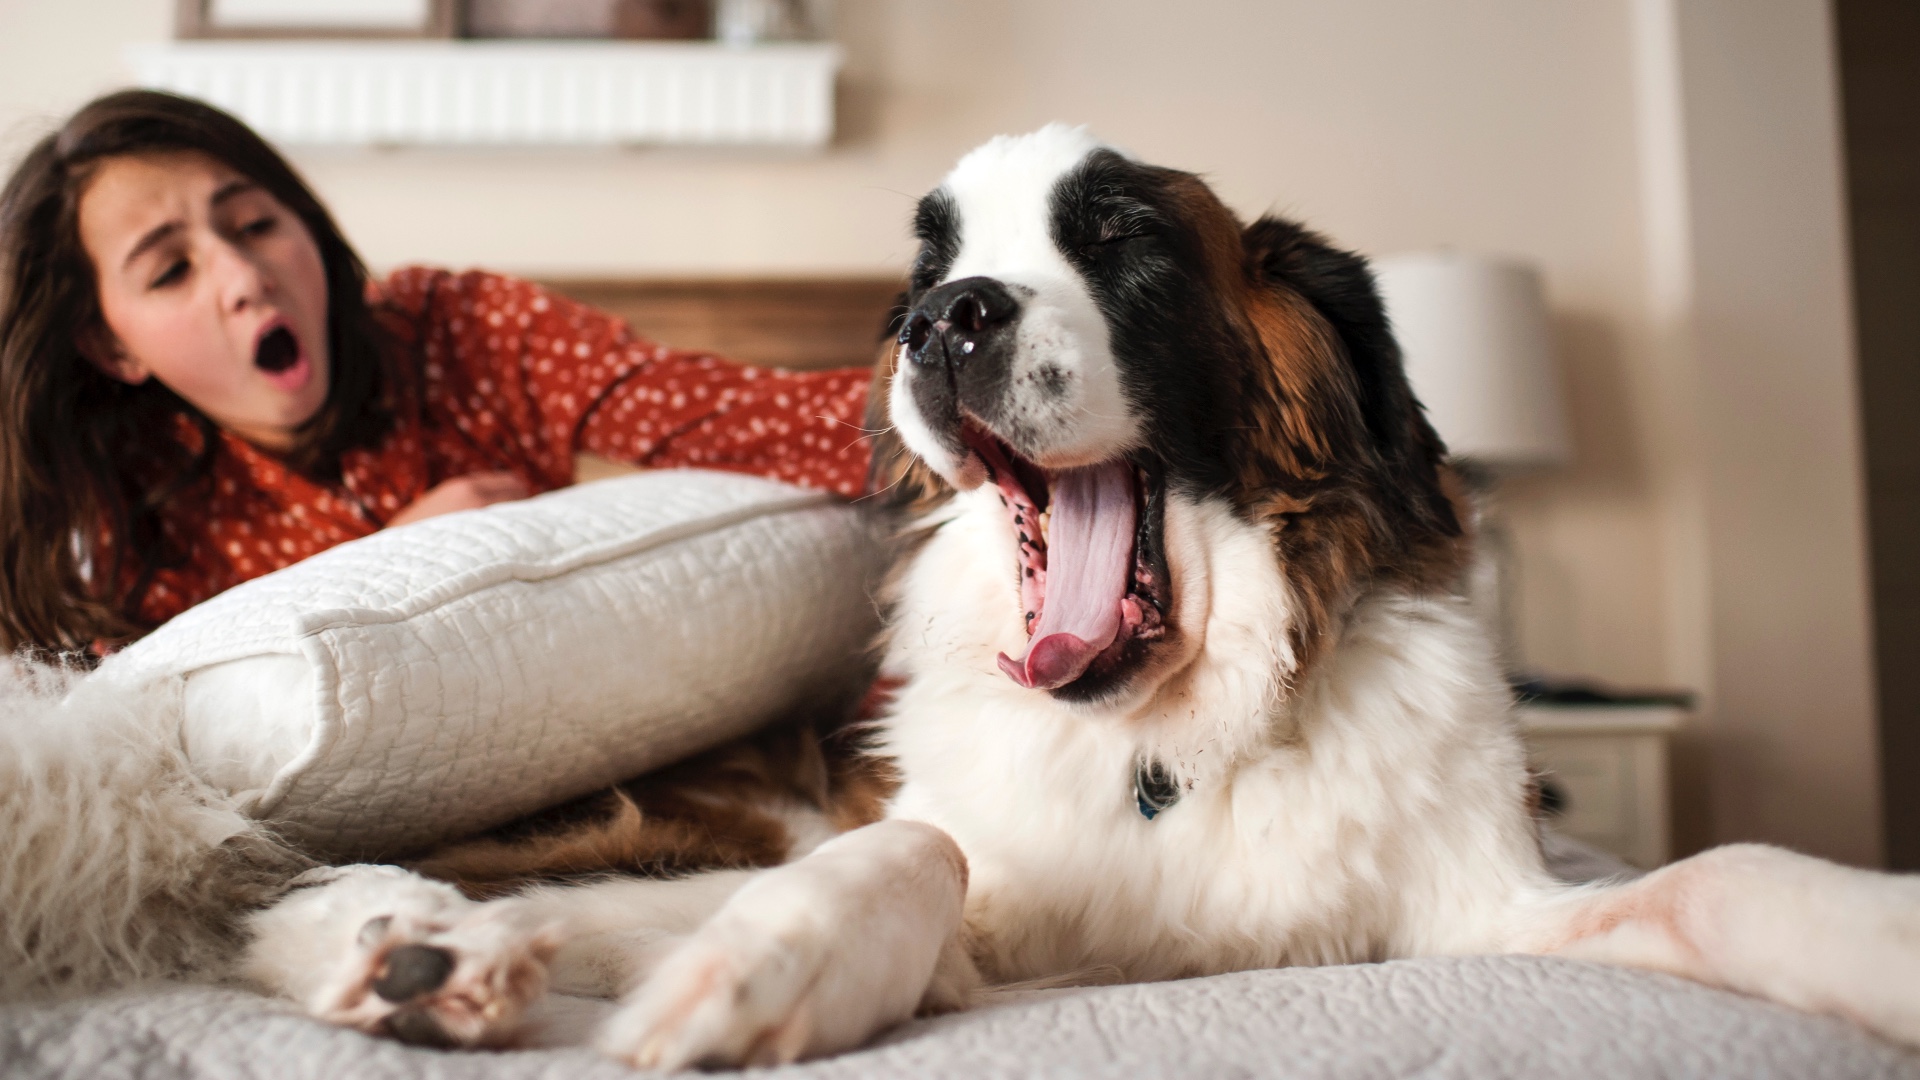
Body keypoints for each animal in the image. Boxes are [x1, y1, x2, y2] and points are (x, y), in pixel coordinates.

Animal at [228, 125, 1920, 1060]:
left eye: (1122, 244)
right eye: (927, 274)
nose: (944, 321)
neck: (1170, 738)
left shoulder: (1483, 908)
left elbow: (1727, 873)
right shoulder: (926, 873)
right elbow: (913, 852)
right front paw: (760, 967)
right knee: (333, 884)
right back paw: (418, 952)